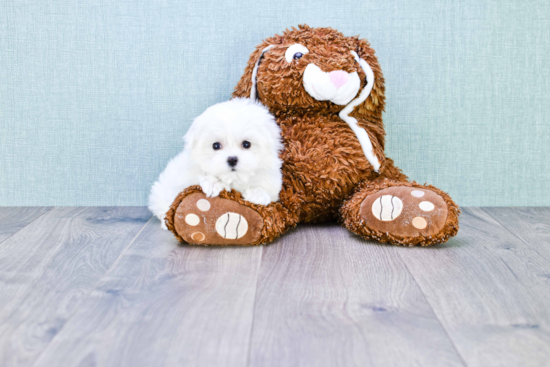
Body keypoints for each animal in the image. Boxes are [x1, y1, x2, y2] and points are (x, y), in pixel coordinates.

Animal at [149, 98, 284, 227]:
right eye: (216, 145)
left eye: (246, 144)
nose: (232, 159)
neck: (233, 178)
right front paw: (212, 183)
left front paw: (258, 194)